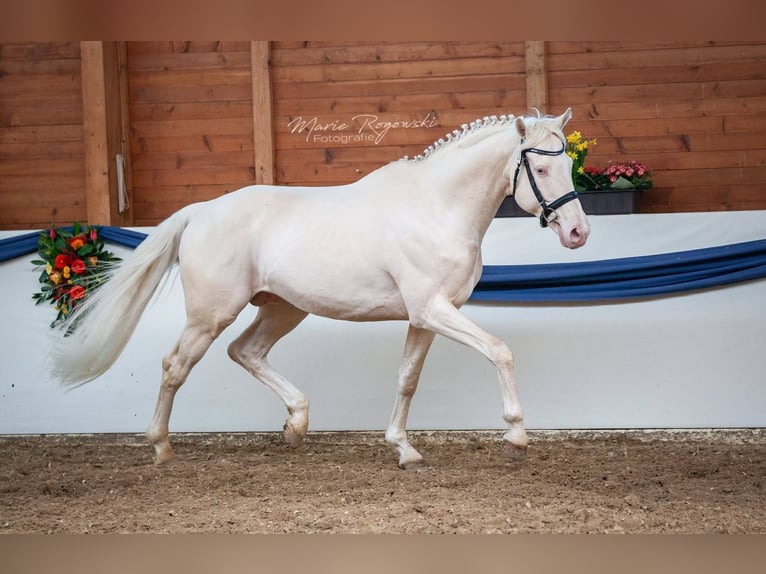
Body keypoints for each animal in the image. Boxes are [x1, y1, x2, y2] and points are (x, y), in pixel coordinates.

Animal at [51, 108, 590, 469]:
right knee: (175, 365)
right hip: (211, 314)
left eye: (569, 166)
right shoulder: (433, 310)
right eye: (541, 168)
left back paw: (296, 424)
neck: (436, 207)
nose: (577, 233)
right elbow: (500, 351)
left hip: (282, 309)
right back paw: (162, 447)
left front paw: (404, 449)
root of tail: (201, 211)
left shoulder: (426, 317)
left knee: (245, 351)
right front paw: (516, 434)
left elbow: (407, 379)